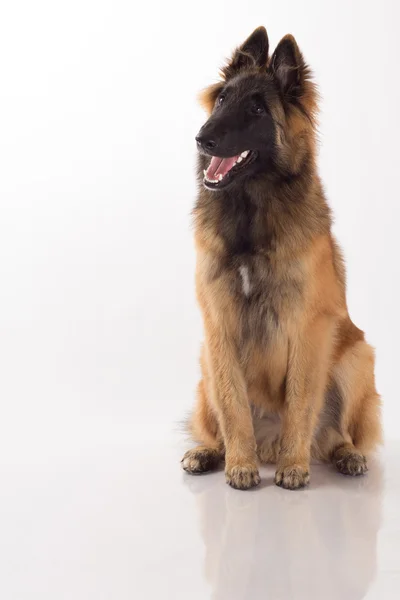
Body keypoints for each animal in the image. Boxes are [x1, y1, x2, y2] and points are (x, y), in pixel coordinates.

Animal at [181, 25, 382, 490]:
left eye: (257, 109)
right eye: (222, 100)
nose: (202, 138)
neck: (251, 212)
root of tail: (267, 442)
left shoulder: (308, 326)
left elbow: (300, 399)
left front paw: (294, 466)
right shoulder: (219, 325)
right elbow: (233, 404)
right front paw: (240, 463)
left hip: (356, 358)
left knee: (336, 433)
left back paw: (344, 455)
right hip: (204, 364)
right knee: (215, 424)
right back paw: (209, 452)